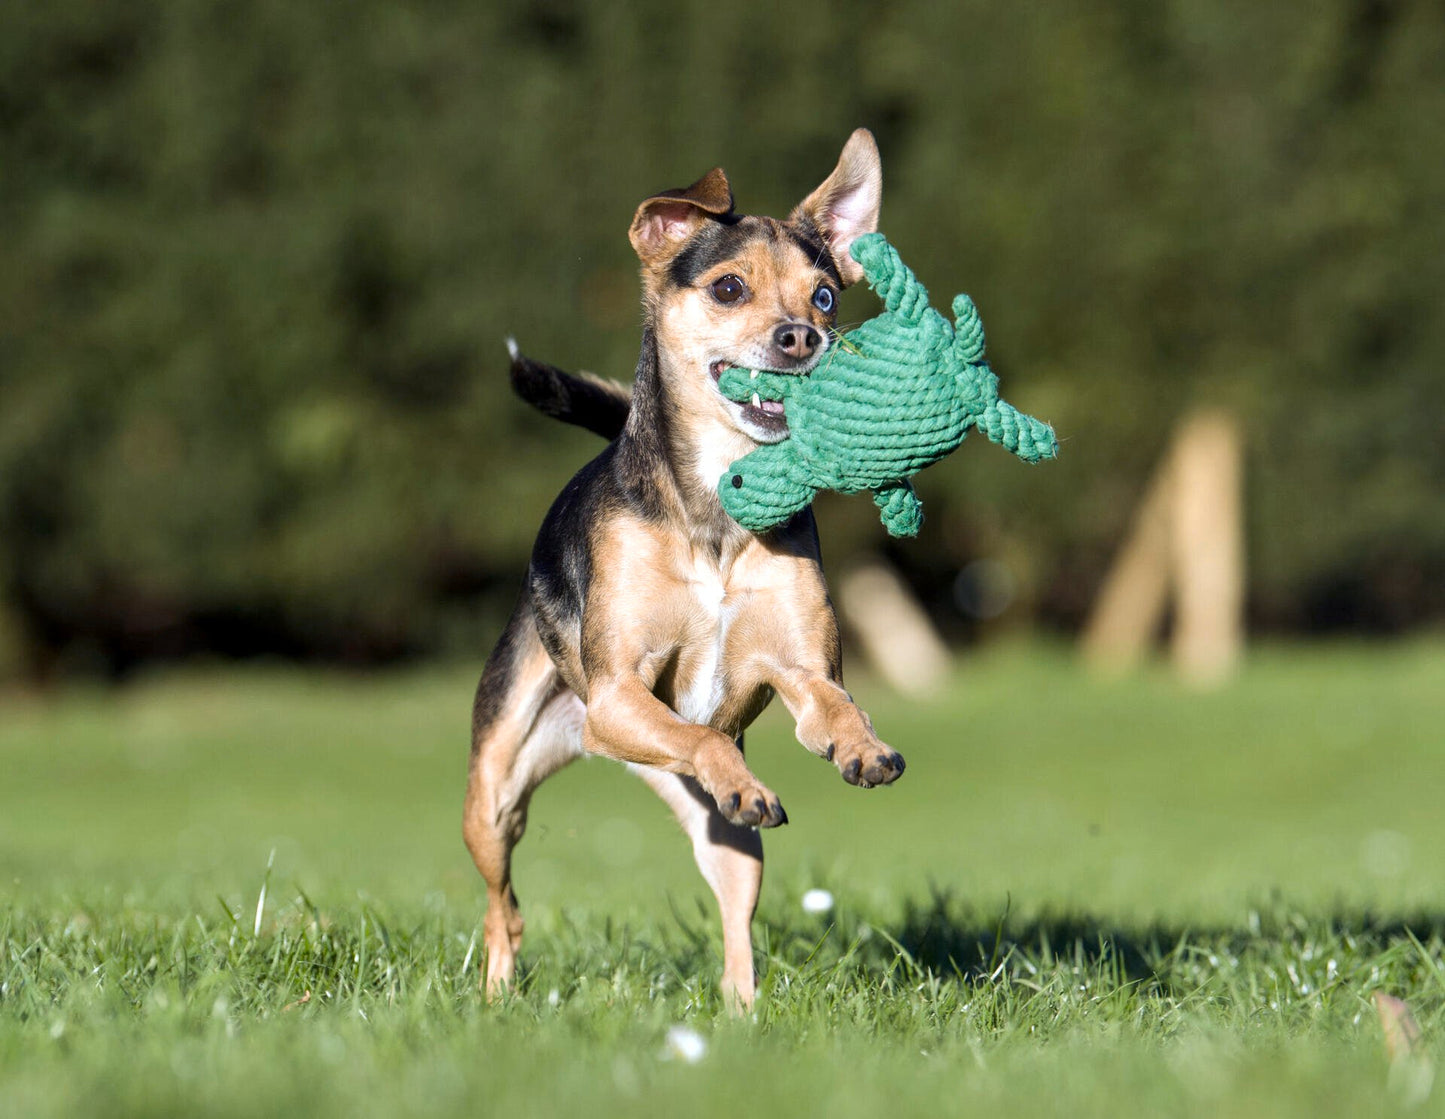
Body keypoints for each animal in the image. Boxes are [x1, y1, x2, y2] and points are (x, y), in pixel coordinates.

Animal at [465, 131, 901, 1017]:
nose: (802, 337)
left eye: (826, 297)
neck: (719, 506)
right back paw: (497, 997)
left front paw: (861, 746)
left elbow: (833, 705)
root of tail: (600, 750)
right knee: (506, 908)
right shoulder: (619, 693)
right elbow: (697, 730)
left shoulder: (801, 670)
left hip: (723, 836)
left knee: (735, 904)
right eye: (728, 287)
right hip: (497, 791)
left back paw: (741, 1012)